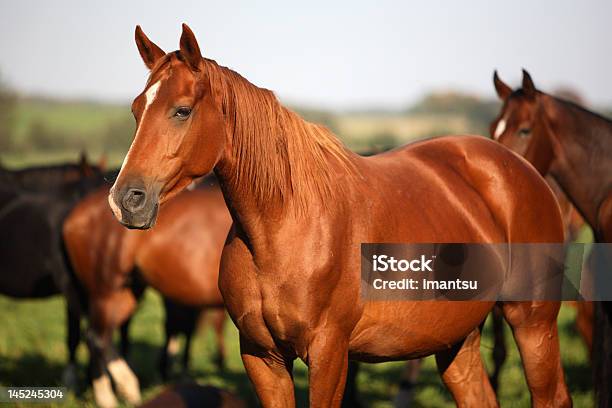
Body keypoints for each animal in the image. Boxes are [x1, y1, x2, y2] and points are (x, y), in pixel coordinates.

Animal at [107, 24, 572, 404]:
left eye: (182, 110)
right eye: (135, 110)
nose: (126, 199)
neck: (283, 228)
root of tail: (518, 168)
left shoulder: (329, 354)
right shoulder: (262, 357)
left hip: (533, 323)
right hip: (457, 340)